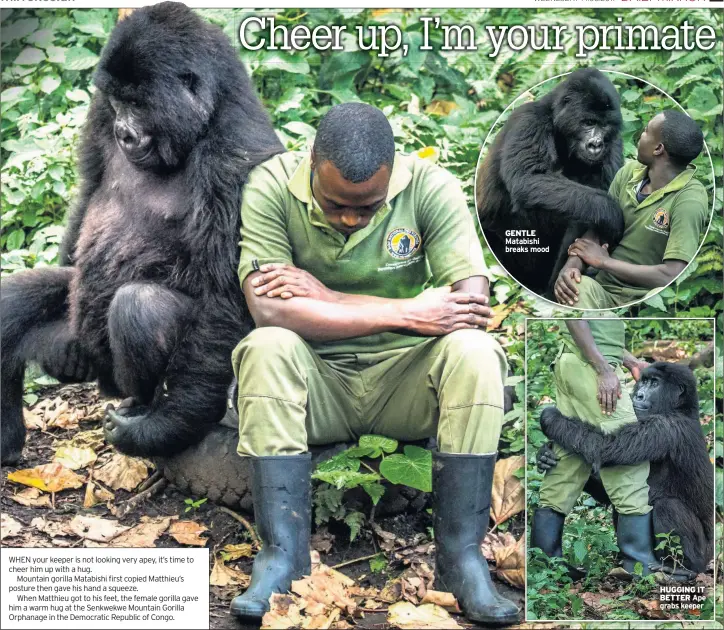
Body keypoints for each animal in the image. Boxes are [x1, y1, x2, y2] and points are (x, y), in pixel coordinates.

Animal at [1, 0, 284, 464]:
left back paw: (145, 408)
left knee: (140, 308)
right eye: (118, 103)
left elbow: (224, 297)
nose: (123, 132)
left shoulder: (238, 155)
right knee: (18, 303)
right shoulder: (98, 112)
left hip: (115, 382)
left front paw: (163, 427)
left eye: (138, 102)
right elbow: (88, 190)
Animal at [478, 69, 624, 296]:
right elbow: (529, 178)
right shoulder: (530, 119)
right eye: (589, 123)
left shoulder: (614, 140)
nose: (596, 145)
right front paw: (612, 212)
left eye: (604, 125)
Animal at [536, 362, 712, 576]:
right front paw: (543, 456)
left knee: (668, 506)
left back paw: (681, 567)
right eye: (643, 382)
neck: (681, 408)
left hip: (703, 556)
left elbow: (603, 448)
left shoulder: (665, 427)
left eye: (655, 384)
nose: (639, 395)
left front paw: (551, 418)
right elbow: (606, 493)